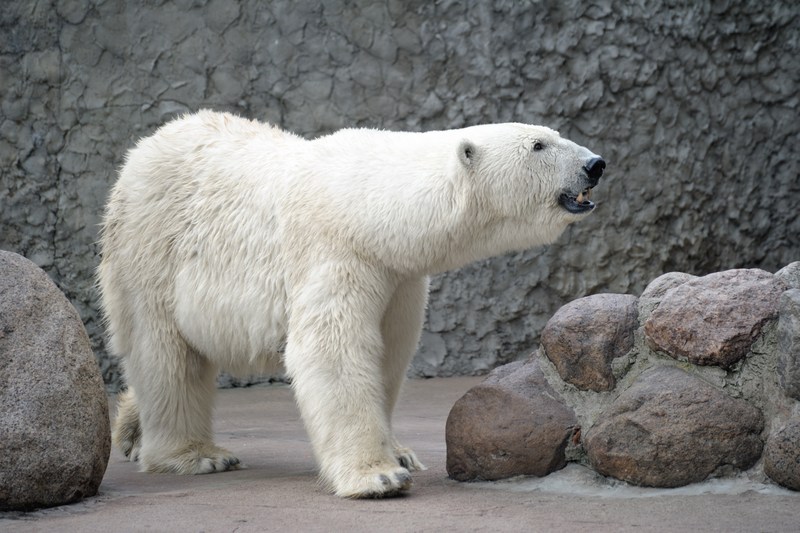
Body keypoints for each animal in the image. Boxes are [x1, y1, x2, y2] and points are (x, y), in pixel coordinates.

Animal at [98, 110, 605, 498]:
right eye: (539, 144)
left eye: (553, 134)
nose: (596, 164)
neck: (372, 205)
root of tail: (144, 148)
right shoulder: (337, 252)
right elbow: (333, 352)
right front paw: (378, 476)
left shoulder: (398, 275)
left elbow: (388, 353)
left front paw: (401, 452)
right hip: (152, 247)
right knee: (164, 353)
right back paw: (194, 455)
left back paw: (130, 429)